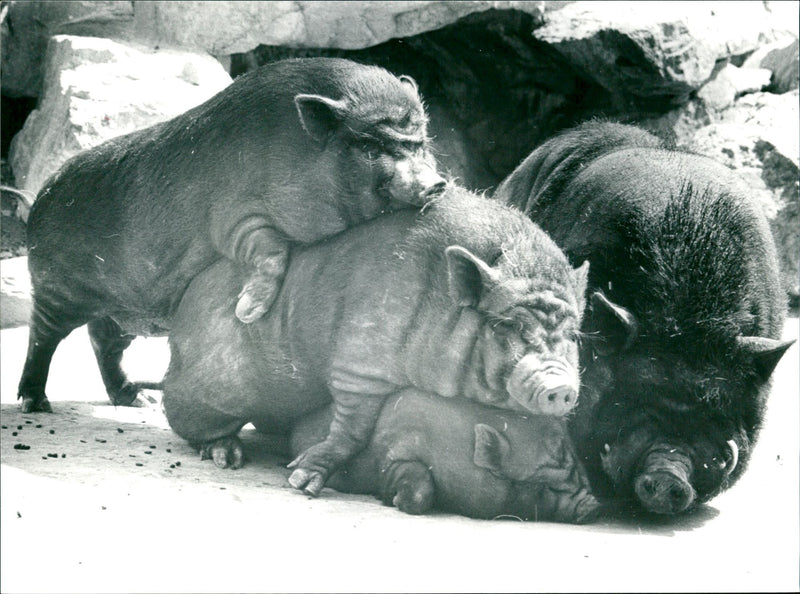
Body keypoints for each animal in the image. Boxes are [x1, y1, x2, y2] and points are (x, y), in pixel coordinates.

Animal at [18, 57, 445, 413]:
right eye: (370, 148)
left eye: (420, 144)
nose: (437, 184)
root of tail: (39, 198)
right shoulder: (233, 218)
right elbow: (271, 250)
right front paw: (248, 312)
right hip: (55, 286)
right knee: (43, 337)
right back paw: (36, 404)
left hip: (121, 308)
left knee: (102, 341)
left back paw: (138, 401)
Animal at [162, 186, 589, 496]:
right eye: (506, 326)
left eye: (572, 335)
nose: (560, 386)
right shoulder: (361, 360)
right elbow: (352, 428)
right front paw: (301, 482)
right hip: (202, 387)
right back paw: (226, 455)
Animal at [290, 389, 600, 523]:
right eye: (544, 485)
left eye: (578, 468)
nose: (594, 506)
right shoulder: (395, 453)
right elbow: (417, 484)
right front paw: (396, 501)